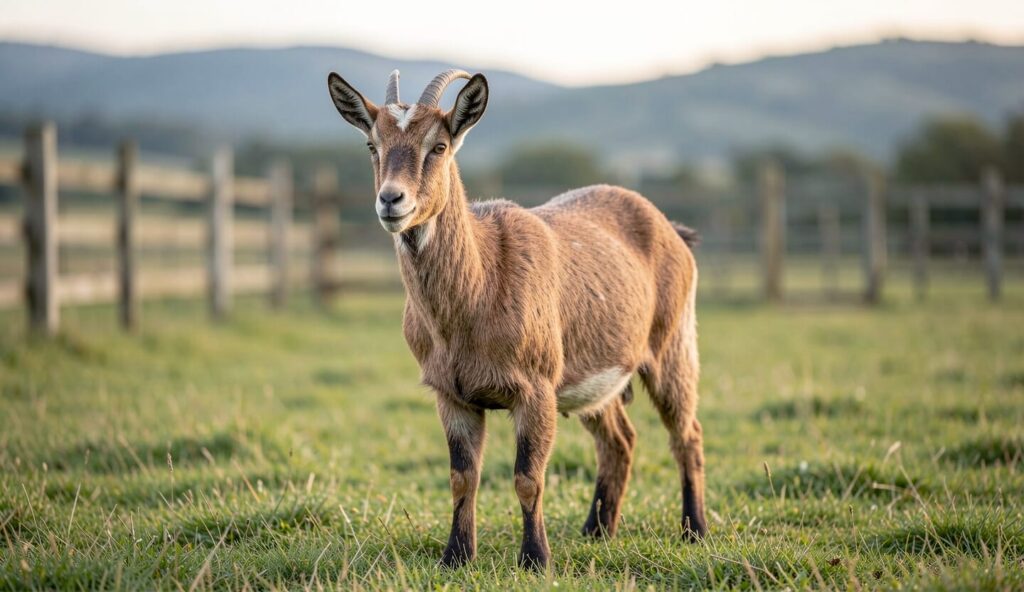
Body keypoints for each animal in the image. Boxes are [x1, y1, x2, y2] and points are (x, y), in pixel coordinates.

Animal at [327, 69, 707, 570]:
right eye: (372, 144)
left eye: (439, 146)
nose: (392, 200)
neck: (479, 287)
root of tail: (673, 229)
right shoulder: (452, 394)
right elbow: (462, 477)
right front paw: (456, 556)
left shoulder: (537, 386)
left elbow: (528, 477)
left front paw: (535, 559)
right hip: (595, 379)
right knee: (619, 440)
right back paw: (597, 531)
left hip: (672, 346)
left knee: (687, 434)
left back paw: (694, 530)